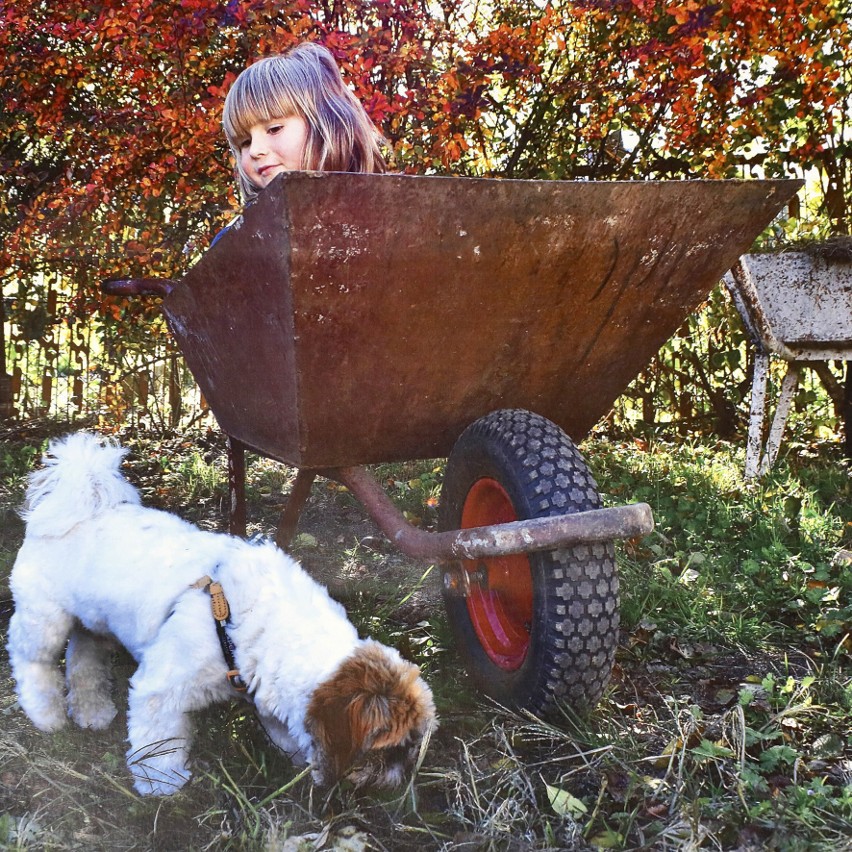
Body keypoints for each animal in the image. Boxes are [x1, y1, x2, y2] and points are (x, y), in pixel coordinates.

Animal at [5, 436, 432, 796]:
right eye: (391, 748)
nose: (399, 779)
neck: (241, 621)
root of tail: (77, 501)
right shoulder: (160, 688)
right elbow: (159, 742)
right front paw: (162, 783)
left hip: (94, 623)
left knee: (84, 657)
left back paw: (92, 711)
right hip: (43, 619)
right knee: (33, 662)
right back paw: (46, 714)